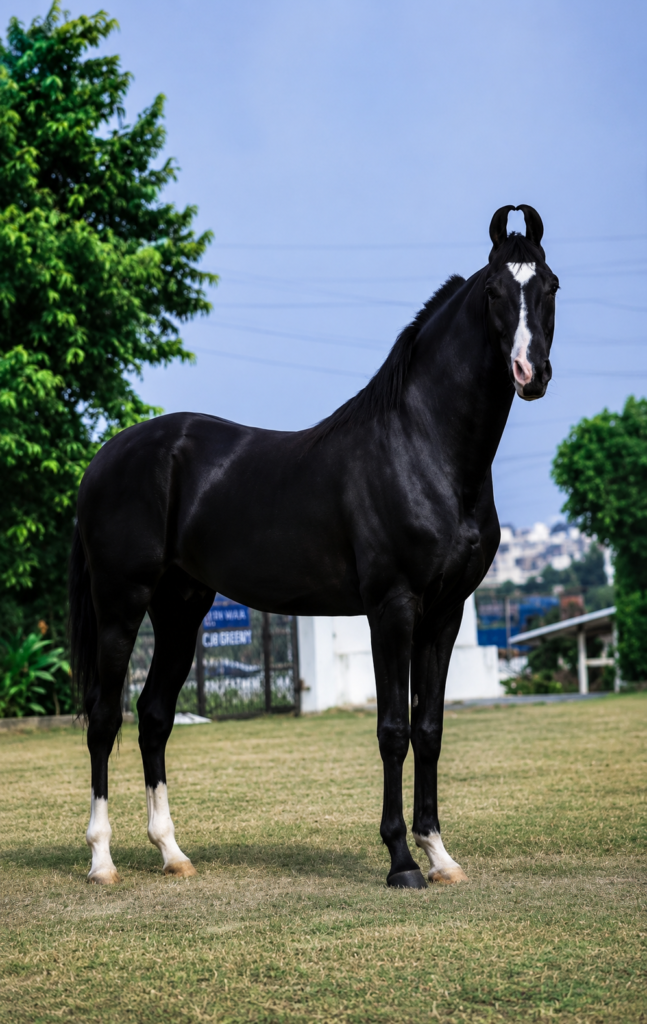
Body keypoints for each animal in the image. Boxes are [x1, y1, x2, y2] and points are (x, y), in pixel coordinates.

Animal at [69, 204, 558, 889]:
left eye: (551, 286)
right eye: (493, 291)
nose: (530, 374)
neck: (422, 447)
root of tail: (105, 458)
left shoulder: (445, 611)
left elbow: (430, 729)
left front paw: (440, 856)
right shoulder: (392, 607)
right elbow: (393, 729)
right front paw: (402, 861)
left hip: (180, 608)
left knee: (155, 715)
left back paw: (172, 852)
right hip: (121, 602)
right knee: (105, 718)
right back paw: (102, 860)